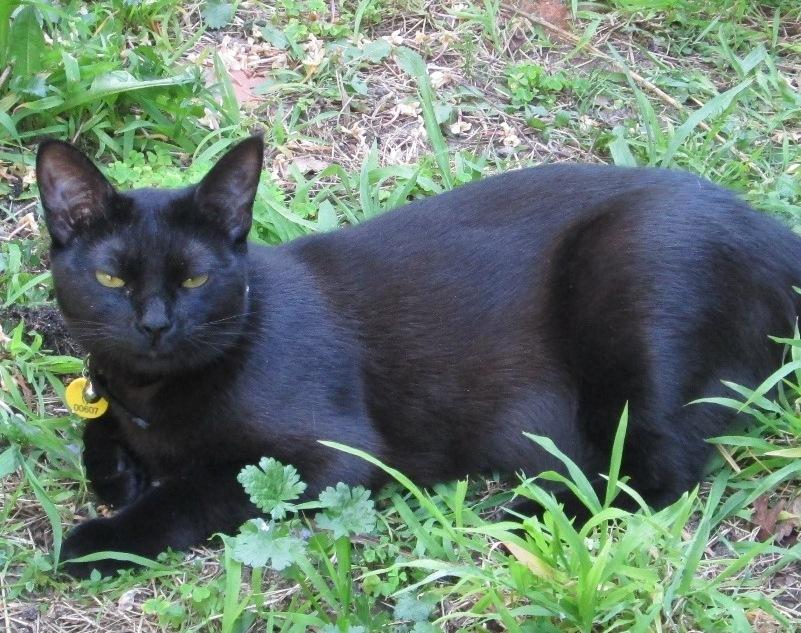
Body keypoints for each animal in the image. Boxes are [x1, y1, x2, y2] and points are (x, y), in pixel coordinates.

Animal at [36, 135, 800, 576]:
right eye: (110, 279)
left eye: (194, 279)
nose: (154, 325)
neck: (153, 395)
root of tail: (768, 230)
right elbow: (101, 438)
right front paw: (118, 470)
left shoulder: (331, 455)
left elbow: (196, 490)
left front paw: (100, 539)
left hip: (636, 281)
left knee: (657, 470)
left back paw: (528, 514)